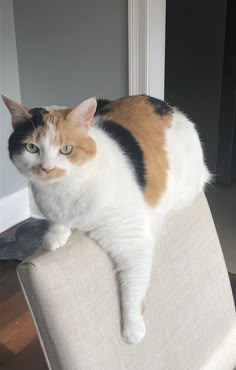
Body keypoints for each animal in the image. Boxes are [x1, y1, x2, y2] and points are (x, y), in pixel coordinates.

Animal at [2, 94, 210, 342]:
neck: (64, 190)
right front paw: (55, 235)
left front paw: (132, 328)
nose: (47, 168)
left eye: (66, 149)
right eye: (31, 148)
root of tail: (170, 107)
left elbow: (133, 286)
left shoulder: (132, 238)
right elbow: (56, 222)